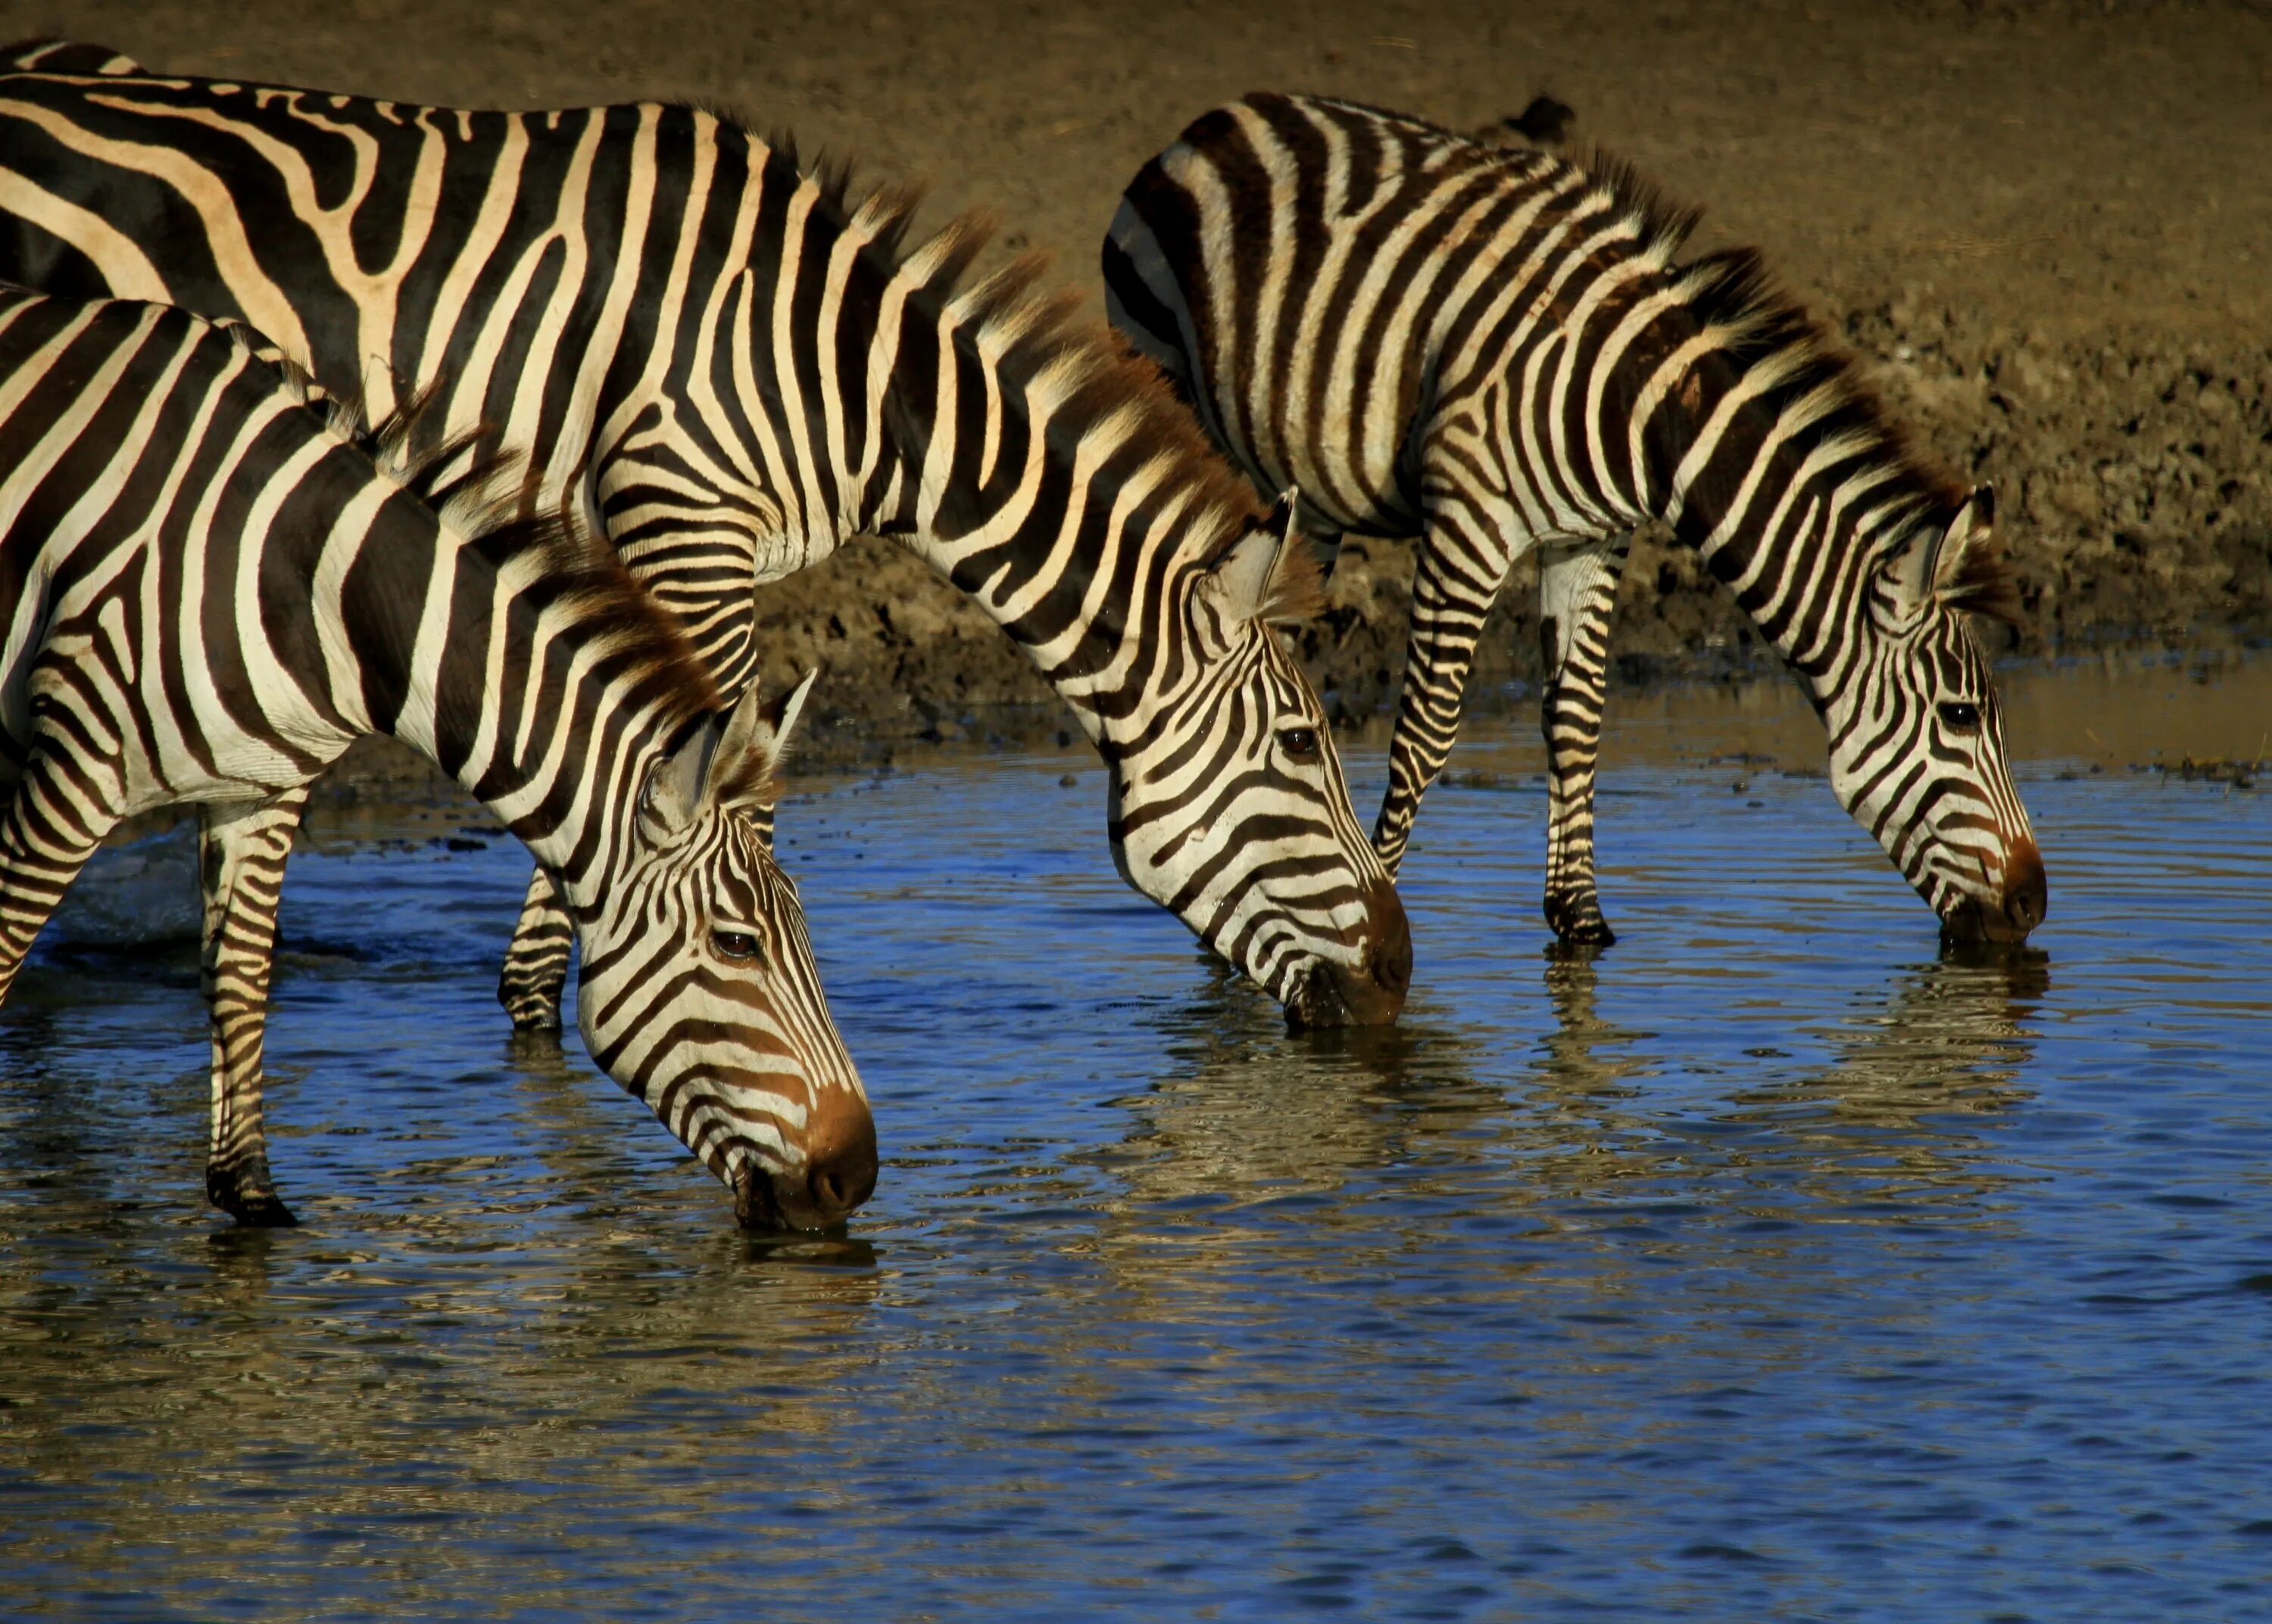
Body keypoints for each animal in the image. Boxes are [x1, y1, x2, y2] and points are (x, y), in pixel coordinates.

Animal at [0, 48, 1409, 1031]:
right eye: (1304, 744)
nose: (1401, 977)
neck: (849, 379)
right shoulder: (684, 518)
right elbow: (722, 776)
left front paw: (545, 1008)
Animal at [0, 289, 868, 1236]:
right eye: (737, 944)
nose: (857, 1175)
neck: (322, 590)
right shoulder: (75, 770)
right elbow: (8, 949)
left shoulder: (264, 789)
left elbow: (241, 982)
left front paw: (253, 1198)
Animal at [1109, 89, 2054, 945]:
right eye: (1961, 718)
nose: (2033, 906)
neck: (1645, 409)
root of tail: (1225, 116)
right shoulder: (1471, 523)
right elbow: (1427, 731)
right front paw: (1381, 897)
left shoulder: (1592, 539)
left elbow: (1575, 717)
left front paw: (1580, 919)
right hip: (1172, 390)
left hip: (1306, 494)